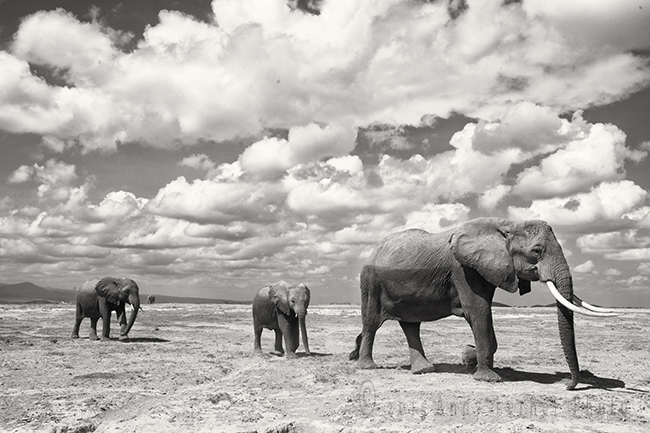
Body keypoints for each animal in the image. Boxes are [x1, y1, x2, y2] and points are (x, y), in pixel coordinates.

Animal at [349, 217, 619, 390]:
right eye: (536, 251)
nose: (567, 385)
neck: (508, 225)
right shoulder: (464, 269)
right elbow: (478, 312)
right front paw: (488, 378)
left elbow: (484, 319)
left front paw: (468, 358)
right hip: (370, 280)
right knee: (371, 322)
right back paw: (368, 367)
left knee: (411, 325)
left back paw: (424, 370)